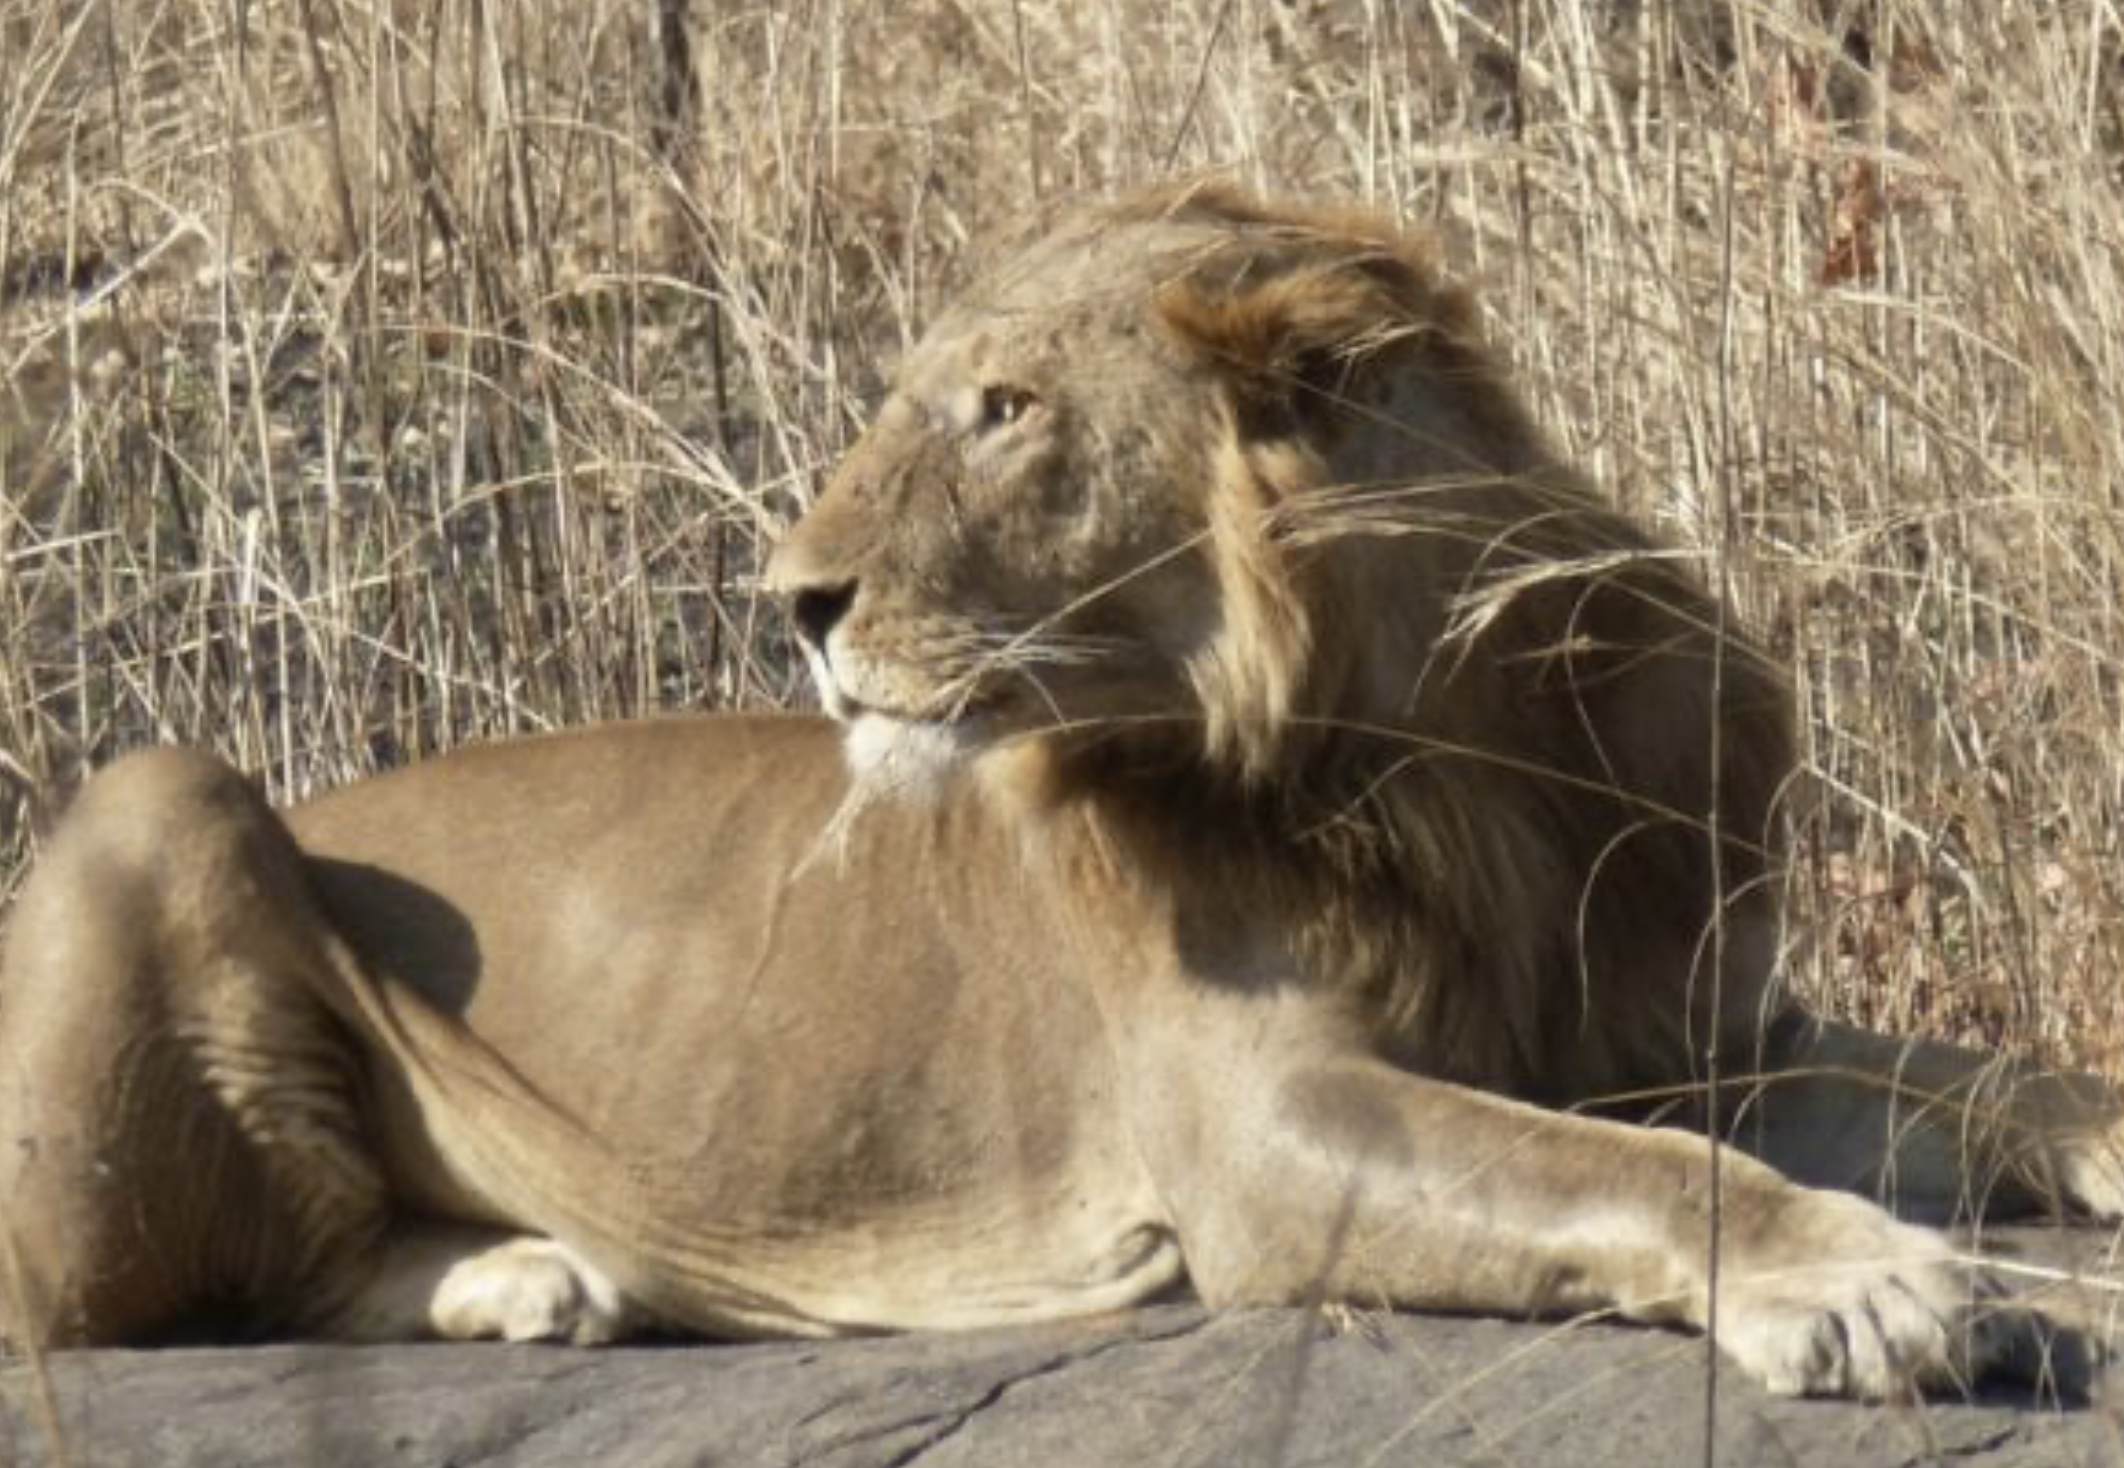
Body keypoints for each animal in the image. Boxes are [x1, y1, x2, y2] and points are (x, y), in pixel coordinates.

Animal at [4, 183, 2124, 1402]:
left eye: (1004, 409)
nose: (792, 600)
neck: (1455, 746)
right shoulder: (1260, 1132)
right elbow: (1613, 1169)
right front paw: (1865, 1279)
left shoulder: (1669, 1024)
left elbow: (1946, 1079)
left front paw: (2069, 1136)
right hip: (165, 785)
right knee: (166, 1298)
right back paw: (530, 1273)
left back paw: (545, 1278)